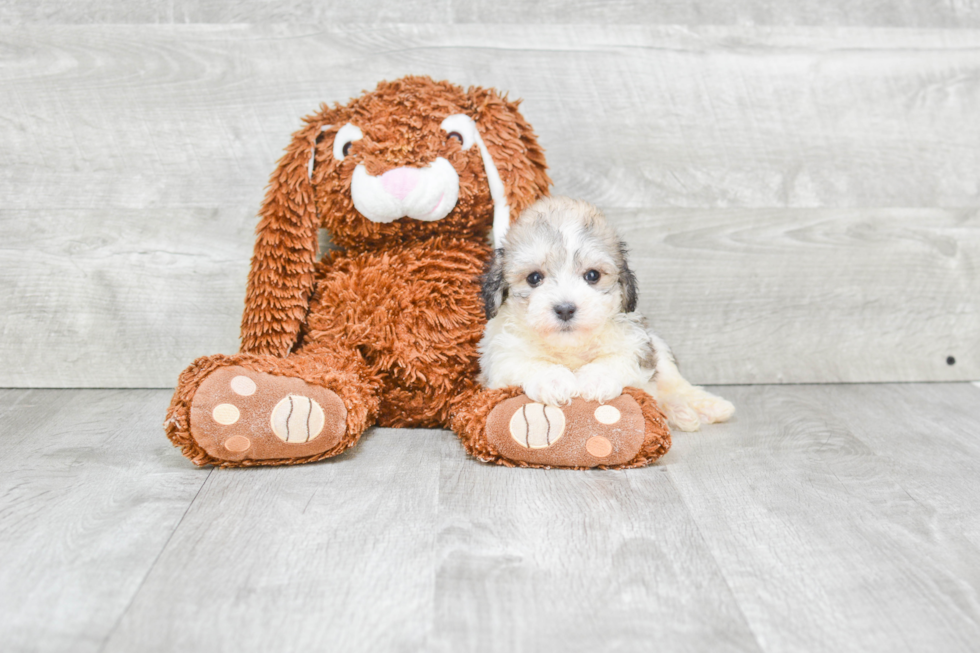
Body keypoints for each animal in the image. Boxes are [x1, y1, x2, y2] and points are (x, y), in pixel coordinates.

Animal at [478, 196, 732, 430]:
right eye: (534, 278)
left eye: (592, 275)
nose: (565, 309)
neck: (570, 347)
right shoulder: (500, 355)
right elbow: (527, 362)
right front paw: (554, 380)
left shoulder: (636, 345)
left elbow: (614, 359)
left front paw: (595, 379)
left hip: (660, 349)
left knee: (674, 384)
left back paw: (701, 407)